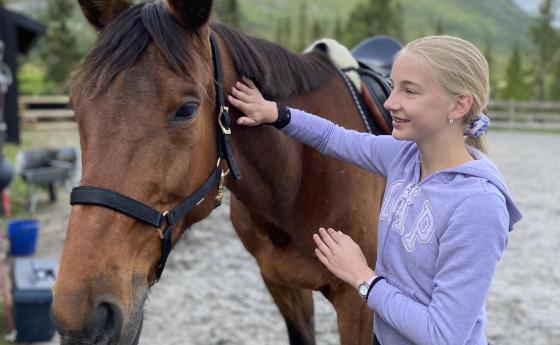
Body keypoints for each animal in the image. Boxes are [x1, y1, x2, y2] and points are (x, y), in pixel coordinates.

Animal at [51, 0, 384, 344]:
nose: (83, 318)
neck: (296, 182)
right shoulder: (282, 285)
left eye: (186, 110)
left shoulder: (356, 304)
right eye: (75, 106)